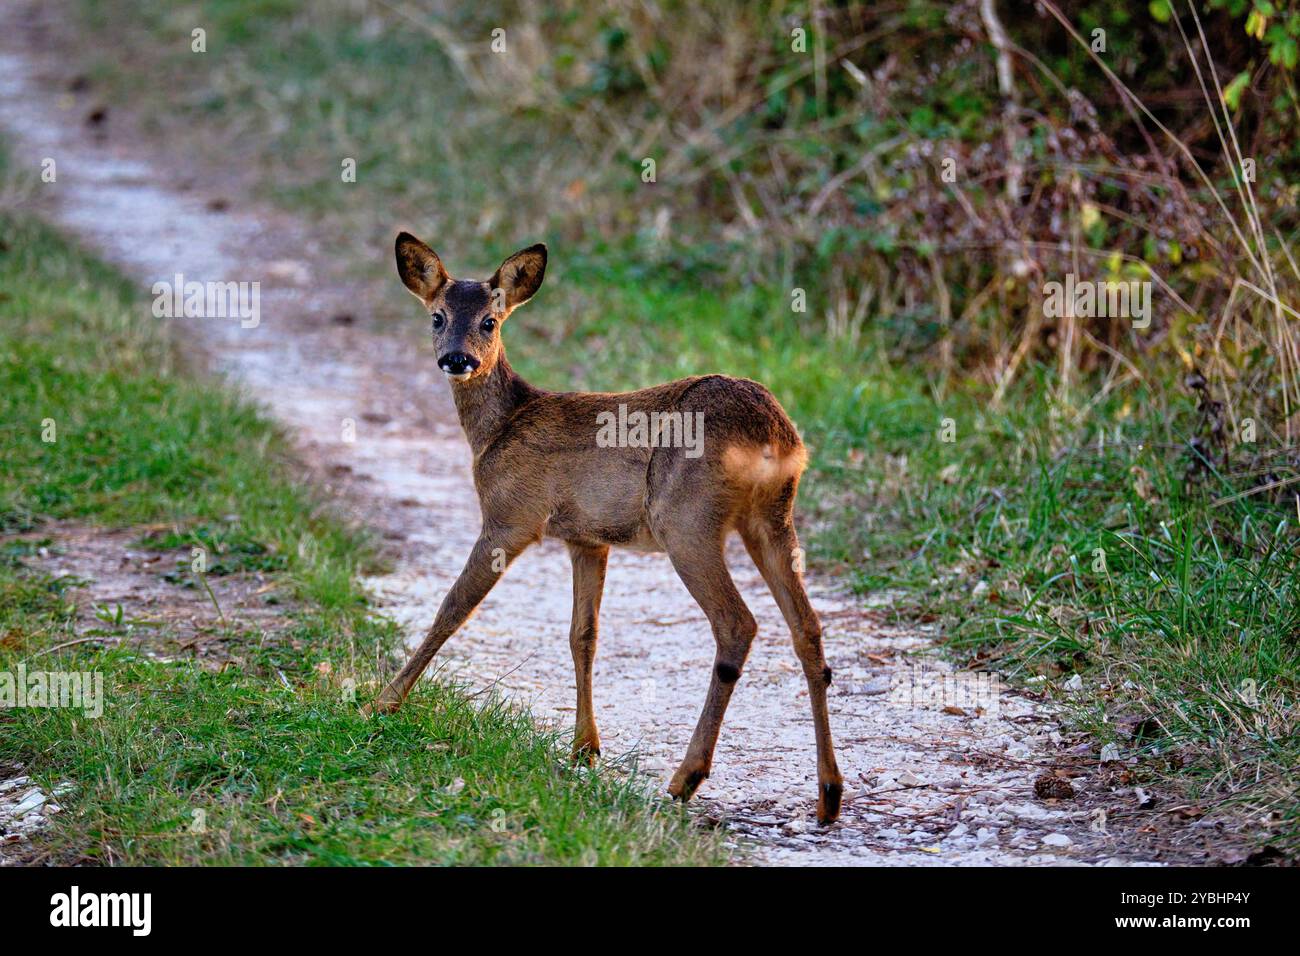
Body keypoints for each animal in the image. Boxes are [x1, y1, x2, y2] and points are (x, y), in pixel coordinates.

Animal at [365, 232, 843, 825]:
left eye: (490, 322)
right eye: (437, 317)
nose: (457, 359)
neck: (499, 429)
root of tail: (776, 433)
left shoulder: (511, 517)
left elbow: (453, 608)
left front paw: (383, 701)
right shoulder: (586, 538)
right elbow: (583, 634)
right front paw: (584, 748)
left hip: (686, 518)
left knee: (738, 624)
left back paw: (686, 778)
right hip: (772, 518)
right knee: (807, 628)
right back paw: (828, 794)